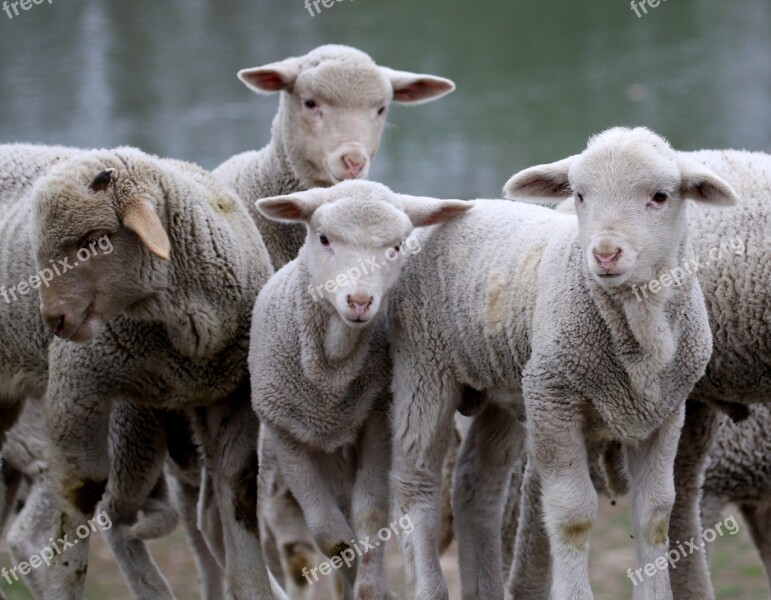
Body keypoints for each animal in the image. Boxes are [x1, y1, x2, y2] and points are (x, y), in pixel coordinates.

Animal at [26, 146, 286, 600]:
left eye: (94, 240)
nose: (54, 320)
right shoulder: (78, 387)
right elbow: (78, 495)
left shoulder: (231, 400)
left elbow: (239, 492)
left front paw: (253, 587)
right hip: (131, 424)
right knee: (113, 514)